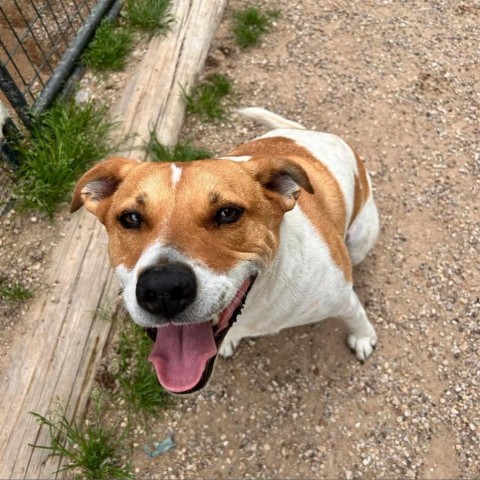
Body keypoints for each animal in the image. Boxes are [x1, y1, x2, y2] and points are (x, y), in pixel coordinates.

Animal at [71, 108, 378, 394]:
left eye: (228, 213)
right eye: (131, 218)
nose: (163, 289)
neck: (258, 301)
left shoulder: (340, 298)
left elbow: (356, 315)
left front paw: (363, 338)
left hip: (361, 238)